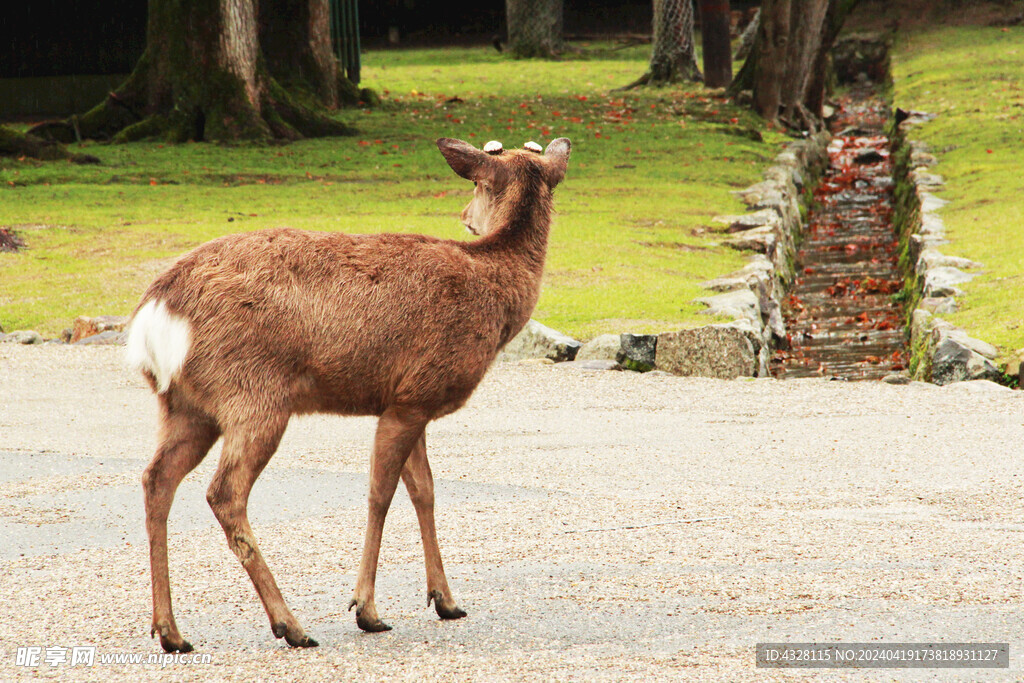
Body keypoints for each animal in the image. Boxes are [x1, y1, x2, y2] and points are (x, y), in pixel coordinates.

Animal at [124, 137, 573, 651]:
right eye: (479, 182)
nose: (464, 214)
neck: (494, 290)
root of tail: (153, 314)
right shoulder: (414, 396)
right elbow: (381, 493)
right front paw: (367, 609)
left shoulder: (408, 398)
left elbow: (424, 491)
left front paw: (446, 599)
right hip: (252, 393)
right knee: (224, 493)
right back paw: (291, 626)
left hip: (187, 406)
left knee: (157, 479)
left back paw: (170, 631)